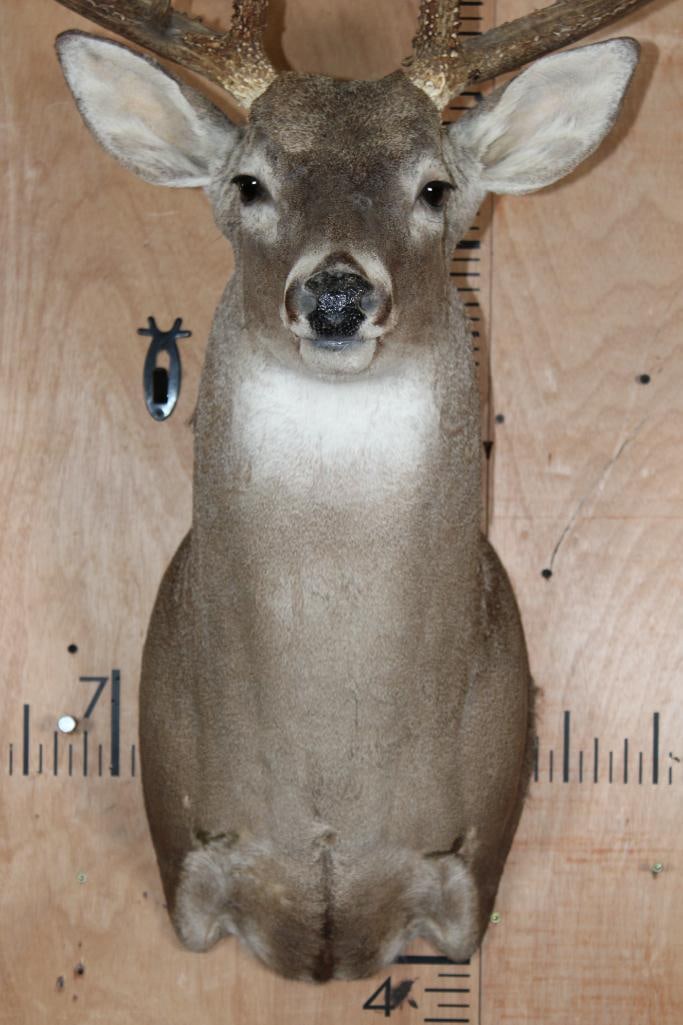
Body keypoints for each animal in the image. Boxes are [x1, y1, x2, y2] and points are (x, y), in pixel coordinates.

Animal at [54, 0, 651, 984]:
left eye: (435, 187)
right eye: (249, 182)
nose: (335, 293)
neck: (331, 787)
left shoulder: (472, 862)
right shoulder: (183, 845)